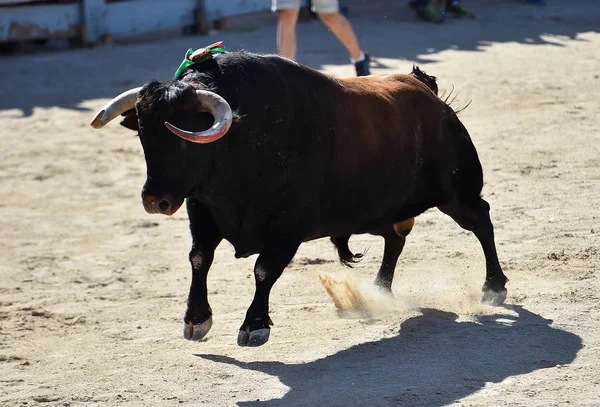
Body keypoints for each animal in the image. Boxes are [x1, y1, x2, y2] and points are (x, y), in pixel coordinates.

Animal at [91, 48, 508, 348]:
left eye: (184, 136)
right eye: (144, 135)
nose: (154, 200)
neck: (244, 137)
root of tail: (428, 92)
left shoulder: (288, 224)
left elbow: (264, 269)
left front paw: (254, 326)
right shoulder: (202, 210)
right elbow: (199, 259)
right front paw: (196, 320)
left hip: (456, 193)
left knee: (481, 220)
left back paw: (494, 287)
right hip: (376, 211)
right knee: (396, 237)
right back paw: (379, 289)